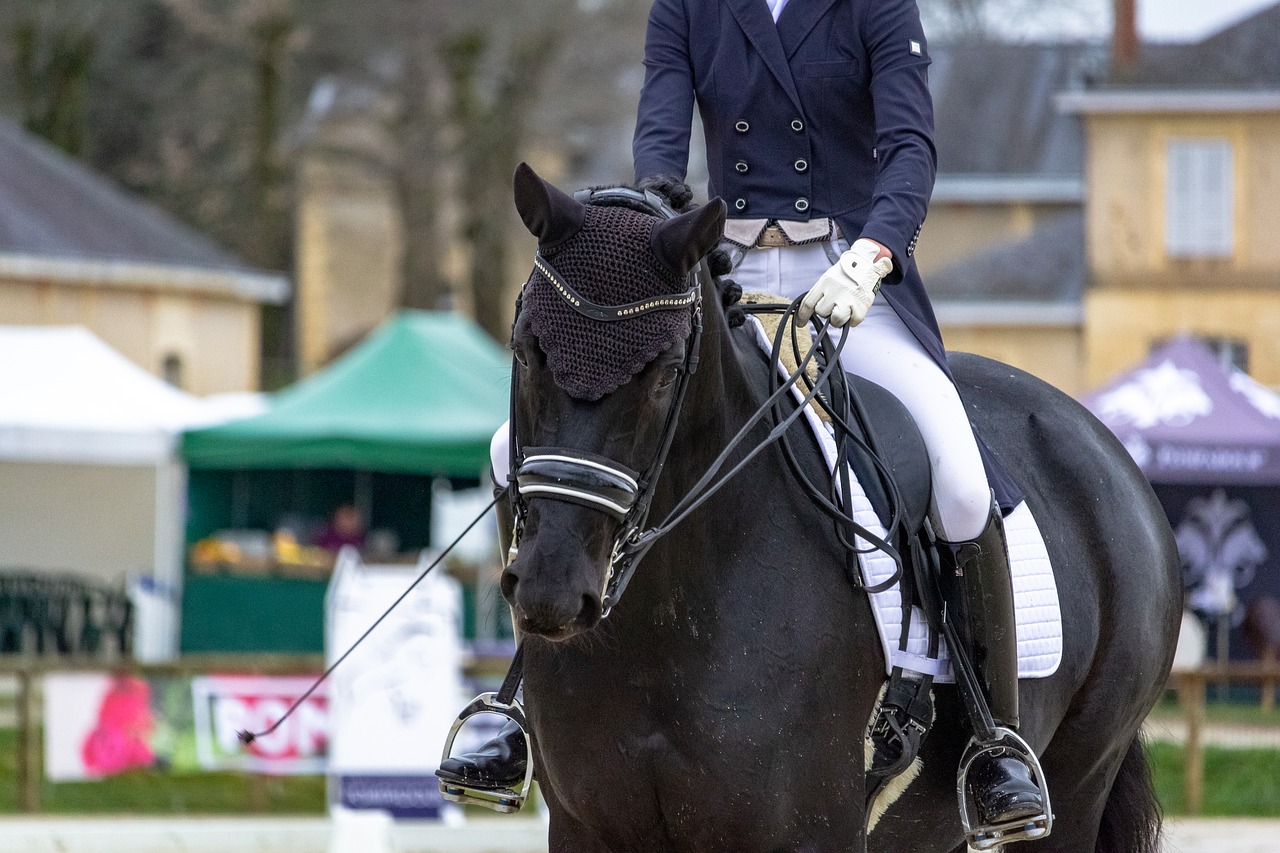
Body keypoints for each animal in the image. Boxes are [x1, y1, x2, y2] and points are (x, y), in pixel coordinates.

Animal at [496, 163, 1177, 850]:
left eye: (663, 373)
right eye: (525, 351)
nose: (552, 590)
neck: (666, 622)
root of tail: (1099, 440)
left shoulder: (815, 829)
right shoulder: (586, 826)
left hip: (1080, 780)